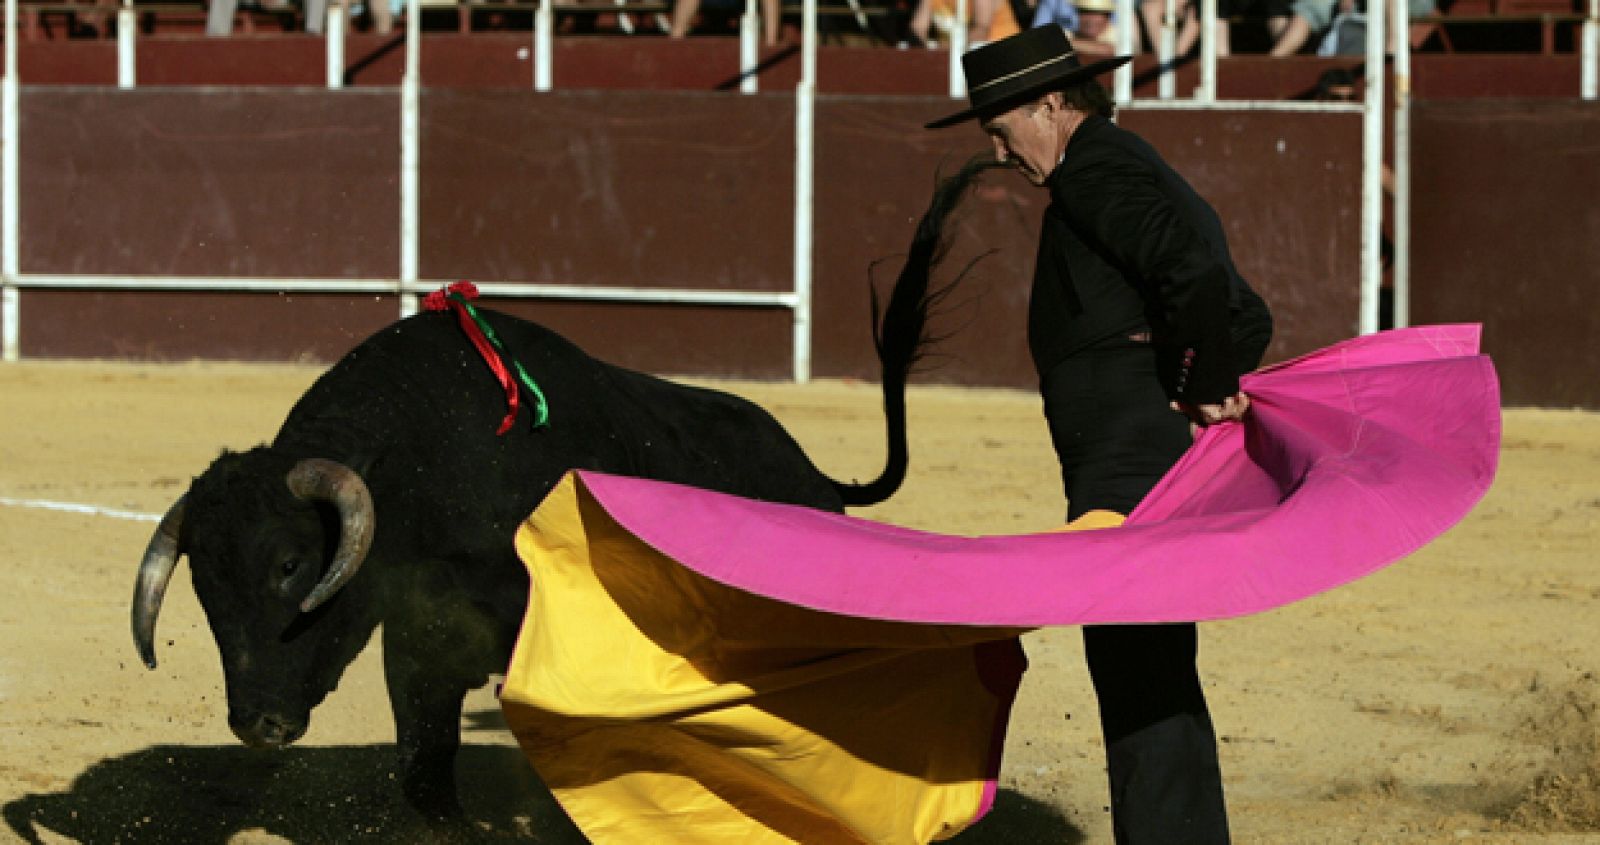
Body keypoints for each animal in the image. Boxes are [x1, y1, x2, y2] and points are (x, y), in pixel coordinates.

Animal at [131, 158, 998, 825]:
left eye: (287, 564)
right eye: (204, 584)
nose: (258, 723)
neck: (422, 469)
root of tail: (817, 478)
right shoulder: (421, 639)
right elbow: (425, 769)